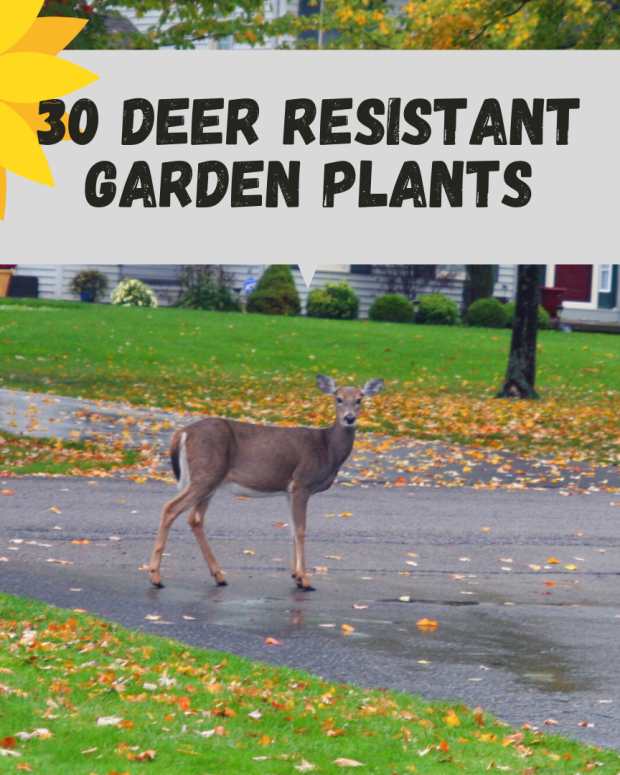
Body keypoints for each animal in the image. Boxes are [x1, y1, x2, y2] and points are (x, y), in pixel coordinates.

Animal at [147, 374, 384, 591]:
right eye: (338, 398)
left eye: (360, 399)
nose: (349, 418)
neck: (327, 448)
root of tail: (182, 433)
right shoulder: (302, 483)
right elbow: (301, 529)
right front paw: (306, 580)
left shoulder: (289, 490)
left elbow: (291, 529)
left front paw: (296, 576)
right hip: (206, 474)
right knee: (171, 508)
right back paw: (155, 576)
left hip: (209, 481)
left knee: (195, 519)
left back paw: (219, 575)